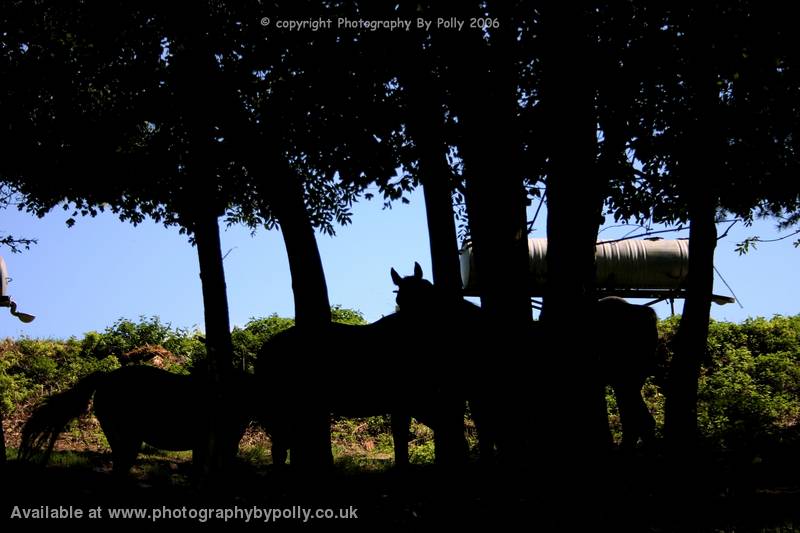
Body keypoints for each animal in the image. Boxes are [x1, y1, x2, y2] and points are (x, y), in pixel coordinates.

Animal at [390, 262, 660, 454]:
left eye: (425, 295)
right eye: (399, 299)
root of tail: (643, 312)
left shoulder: (479, 392)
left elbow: (487, 427)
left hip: (625, 381)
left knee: (639, 422)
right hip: (625, 382)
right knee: (638, 422)